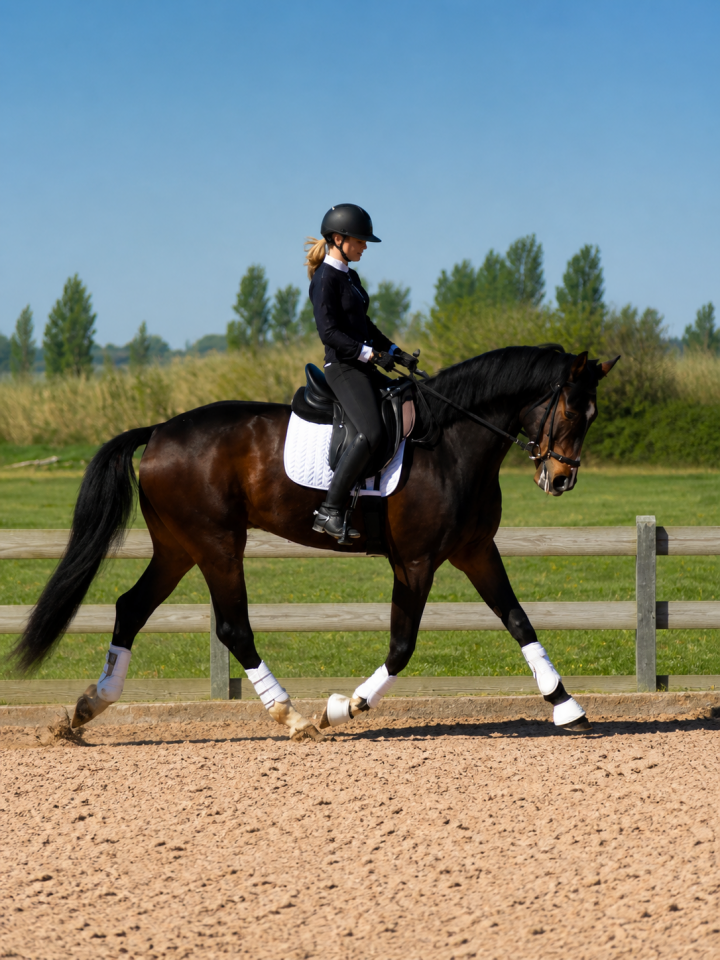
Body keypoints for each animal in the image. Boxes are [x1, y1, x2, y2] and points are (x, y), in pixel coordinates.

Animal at [12, 345, 617, 739]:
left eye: (592, 414)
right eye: (571, 410)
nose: (560, 480)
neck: (449, 443)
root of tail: (159, 431)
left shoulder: (475, 551)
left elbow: (519, 621)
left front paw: (566, 705)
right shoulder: (415, 562)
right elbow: (403, 646)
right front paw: (344, 707)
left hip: (178, 548)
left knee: (130, 608)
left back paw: (88, 709)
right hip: (216, 544)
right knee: (232, 627)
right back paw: (294, 716)